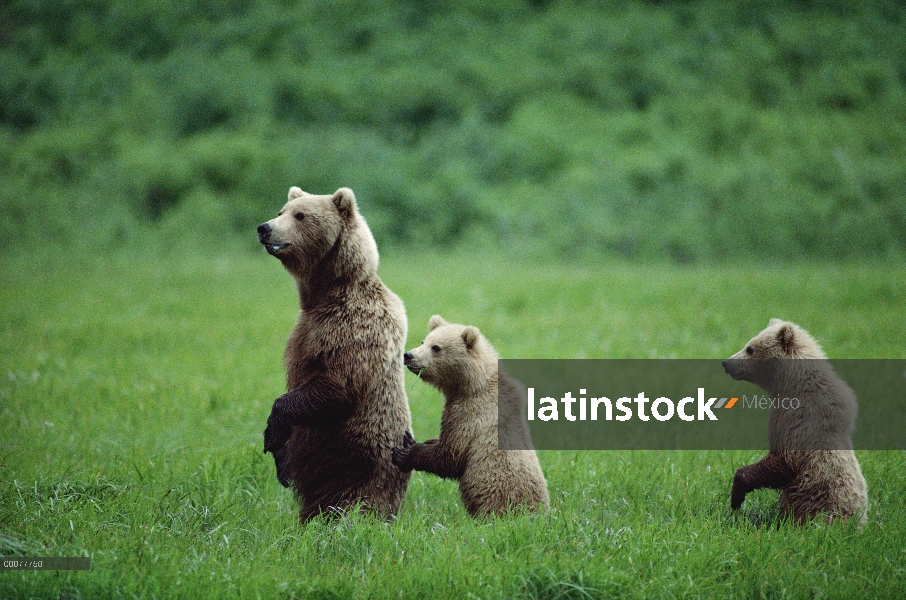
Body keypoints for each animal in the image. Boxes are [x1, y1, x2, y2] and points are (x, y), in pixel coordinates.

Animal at [254, 185, 410, 524]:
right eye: (281, 210)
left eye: (300, 215)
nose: (264, 228)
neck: (326, 293)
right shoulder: (303, 330)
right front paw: (281, 461)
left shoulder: (353, 328)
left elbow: (336, 384)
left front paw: (272, 432)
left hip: (359, 466)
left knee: (353, 502)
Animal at [390, 316, 548, 516]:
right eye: (423, 341)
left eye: (436, 347)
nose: (409, 355)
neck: (472, 385)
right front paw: (414, 440)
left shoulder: (470, 414)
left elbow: (451, 455)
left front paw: (405, 453)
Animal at [720, 318, 868, 524]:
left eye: (750, 348)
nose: (726, 363)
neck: (791, 383)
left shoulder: (792, 421)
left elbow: (782, 460)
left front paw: (736, 497)